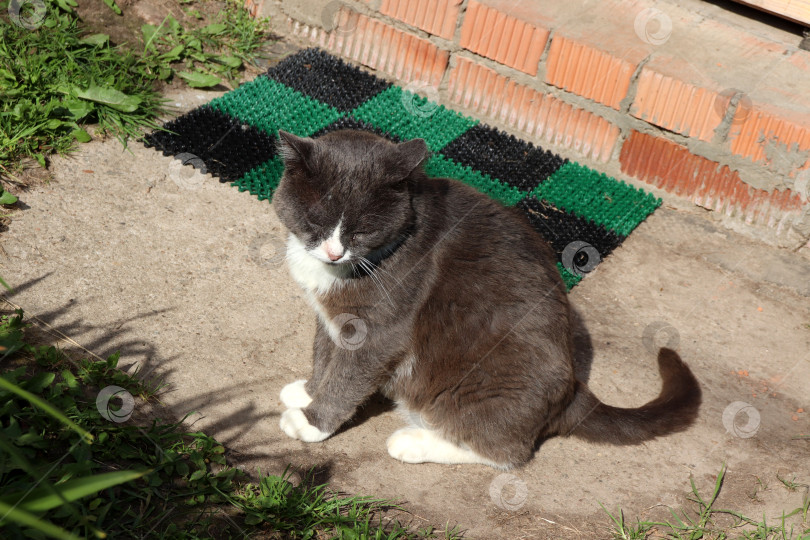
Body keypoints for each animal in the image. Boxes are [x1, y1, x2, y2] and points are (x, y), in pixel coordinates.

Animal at [272, 127, 700, 468]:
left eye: (362, 232)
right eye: (316, 222)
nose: (334, 253)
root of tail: (574, 392)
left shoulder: (377, 331)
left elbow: (347, 377)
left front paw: (310, 421)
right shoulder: (329, 318)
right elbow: (323, 353)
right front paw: (308, 391)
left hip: (485, 386)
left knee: (506, 452)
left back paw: (412, 442)